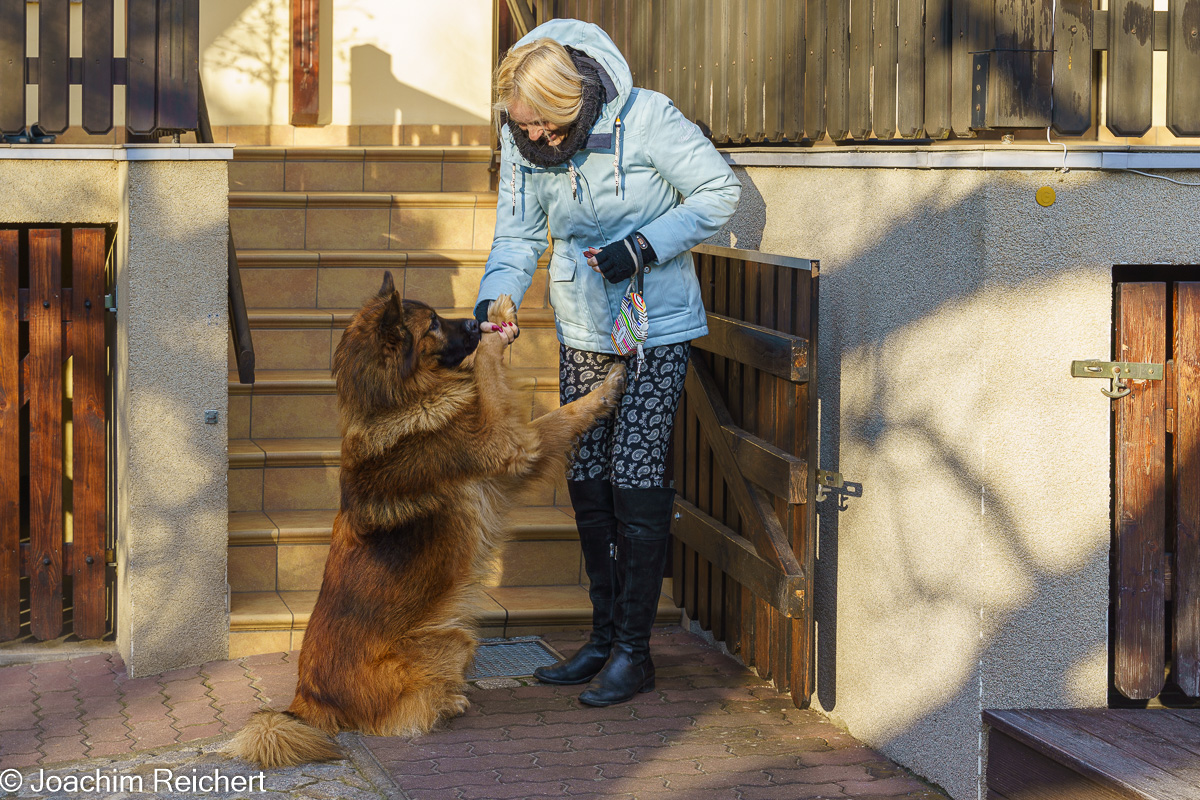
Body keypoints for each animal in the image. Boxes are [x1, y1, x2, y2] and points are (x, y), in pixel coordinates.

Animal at [224, 275, 628, 767]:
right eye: (433, 323)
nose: (475, 320)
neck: (400, 401)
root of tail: (306, 701)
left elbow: (536, 405)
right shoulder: (509, 442)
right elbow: (515, 386)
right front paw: (511, 339)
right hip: (450, 641)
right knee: (405, 715)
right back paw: (446, 702)